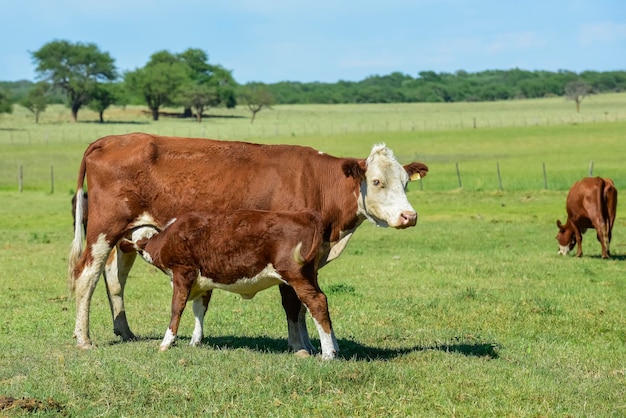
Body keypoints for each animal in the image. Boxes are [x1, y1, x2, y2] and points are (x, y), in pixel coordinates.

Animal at [122, 209, 342, 360]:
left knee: (316, 302)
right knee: (319, 302)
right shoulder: (203, 282)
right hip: (308, 275)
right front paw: (195, 341)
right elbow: (199, 310)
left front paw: (166, 343)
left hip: (296, 274)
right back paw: (334, 348)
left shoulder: (182, 272)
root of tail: (304, 214)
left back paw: (328, 354)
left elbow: (177, 308)